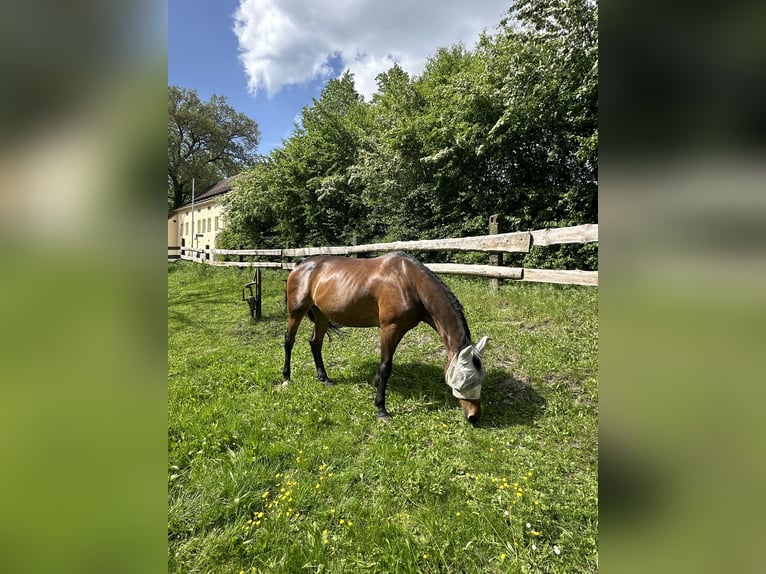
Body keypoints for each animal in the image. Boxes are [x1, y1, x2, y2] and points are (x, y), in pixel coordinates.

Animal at [284, 252, 492, 424]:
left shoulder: (399, 329)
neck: (409, 282)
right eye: (466, 379)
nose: (474, 416)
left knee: (315, 343)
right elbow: (386, 367)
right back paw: (286, 378)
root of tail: (301, 264)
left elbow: (384, 365)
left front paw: (376, 384)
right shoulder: (389, 328)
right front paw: (381, 409)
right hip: (296, 312)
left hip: (322, 315)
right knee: (289, 341)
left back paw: (324, 378)